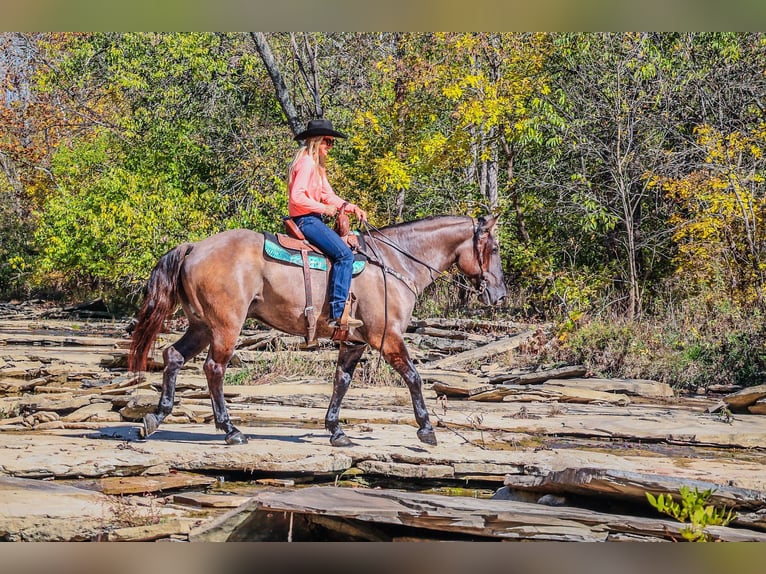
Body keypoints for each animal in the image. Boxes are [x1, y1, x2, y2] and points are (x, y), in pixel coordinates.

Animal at [128, 214, 508, 448]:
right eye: (494, 248)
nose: (499, 295)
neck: (395, 263)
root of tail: (194, 247)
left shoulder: (354, 342)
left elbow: (341, 382)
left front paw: (336, 430)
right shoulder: (386, 337)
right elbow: (413, 377)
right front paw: (426, 428)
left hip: (202, 325)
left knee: (173, 356)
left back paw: (155, 417)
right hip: (226, 326)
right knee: (214, 369)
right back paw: (231, 430)